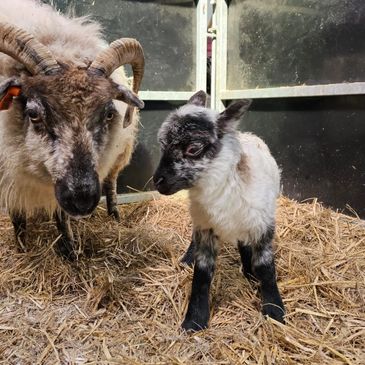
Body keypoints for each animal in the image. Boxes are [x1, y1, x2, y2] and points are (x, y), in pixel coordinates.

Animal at [0, 0, 145, 258]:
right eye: (33, 114)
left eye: (109, 113)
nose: (83, 200)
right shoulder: (10, 175)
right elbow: (18, 218)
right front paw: (22, 249)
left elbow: (61, 215)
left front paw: (69, 249)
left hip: (120, 153)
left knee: (111, 182)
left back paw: (114, 216)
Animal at [152, 90, 282, 330]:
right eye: (162, 144)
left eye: (193, 149)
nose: (158, 181)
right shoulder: (206, 228)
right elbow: (202, 274)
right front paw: (194, 320)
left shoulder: (262, 225)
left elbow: (265, 267)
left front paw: (274, 309)